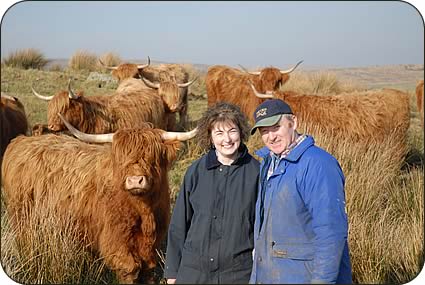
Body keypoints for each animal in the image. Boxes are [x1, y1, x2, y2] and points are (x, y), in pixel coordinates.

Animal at [1, 115, 197, 282]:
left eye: (152, 156)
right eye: (121, 159)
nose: (135, 180)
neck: (144, 212)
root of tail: (21, 141)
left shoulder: (152, 245)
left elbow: (148, 271)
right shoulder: (117, 242)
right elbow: (129, 269)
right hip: (23, 218)